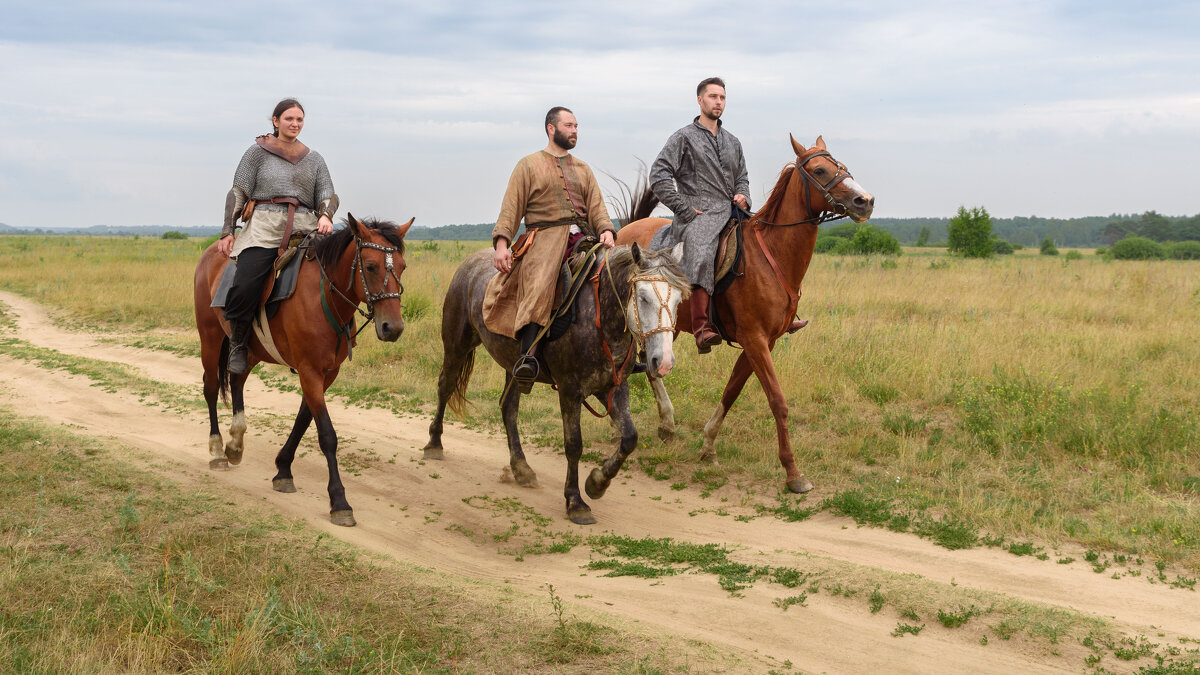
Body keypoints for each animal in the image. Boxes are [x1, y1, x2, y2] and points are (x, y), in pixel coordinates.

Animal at [194, 214, 415, 526]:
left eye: (403, 266)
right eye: (370, 266)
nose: (392, 328)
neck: (325, 297)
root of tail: (212, 251)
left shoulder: (326, 373)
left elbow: (303, 420)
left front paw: (283, 470)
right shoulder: (309, 370)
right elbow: (327, 435)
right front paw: (339, 501)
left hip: (249, 350)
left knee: (237, 380)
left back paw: (236, 443)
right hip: (210, 337)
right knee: (212, 388)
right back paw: (216, 450)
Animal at [424, 241, 691, 521]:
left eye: (678, 300)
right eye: (643, 297)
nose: (663, 361)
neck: (599, 318)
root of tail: (469, 262)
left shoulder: (613, 387)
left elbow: (629, 438)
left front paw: (597, 482)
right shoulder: (569, 390)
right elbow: (574, 445)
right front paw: (575, 501)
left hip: (513, 366)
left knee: (509, 408)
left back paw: (521, 468)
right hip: (456, 344)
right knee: (445, 386)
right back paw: (434, 443)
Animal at [619, 136, 873, 492]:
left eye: (843, 166)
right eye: (820, 170)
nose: (865, 201)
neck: (772, 256)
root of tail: (626, 232)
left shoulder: (763, 343)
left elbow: (732, 390)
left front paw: (708, 445)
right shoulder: (755, 340)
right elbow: (777, 401)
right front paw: (793, 472)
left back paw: (666, 425)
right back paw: (660, 423)